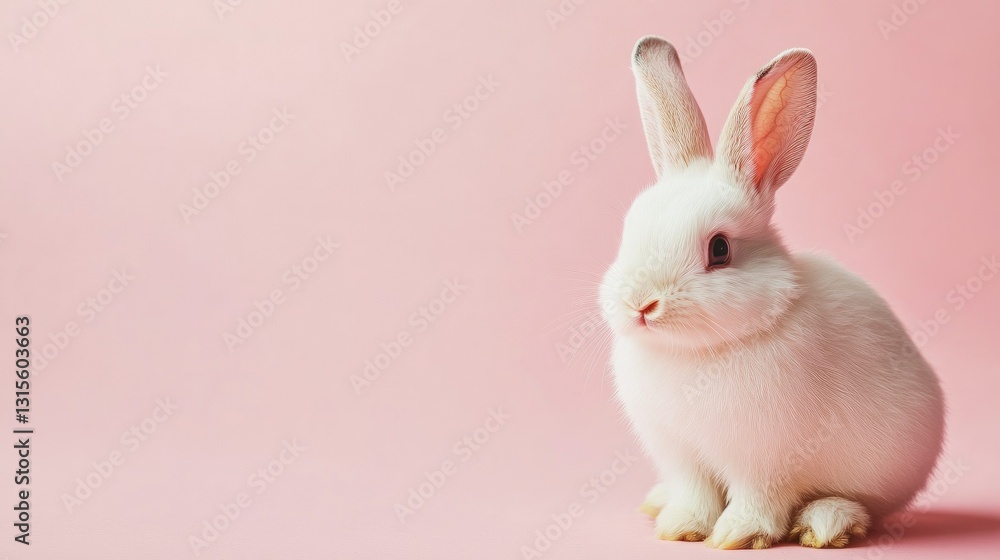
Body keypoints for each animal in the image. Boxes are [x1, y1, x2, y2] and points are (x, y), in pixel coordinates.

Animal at [599, 36, 945, 549]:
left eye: (719, 249)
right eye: (628, 230)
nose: (641, 305)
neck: (696, 353)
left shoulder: (762, 462)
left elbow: (756, 499)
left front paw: (735, 536)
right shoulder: (682, 456)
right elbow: (695, 493)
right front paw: (681, 527)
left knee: (860, 506)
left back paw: (826, 524)